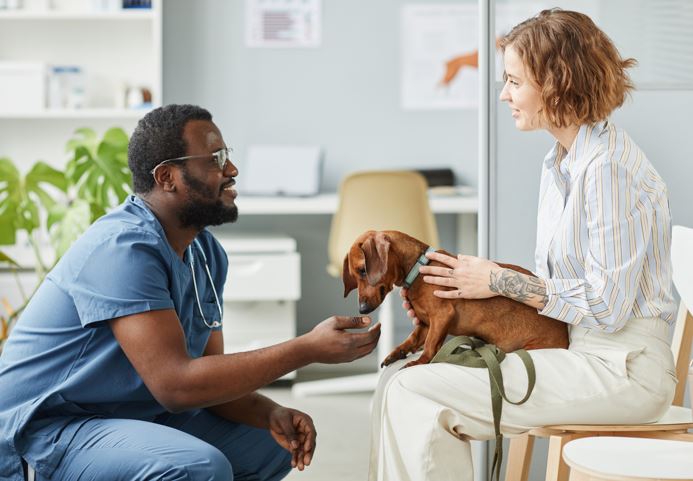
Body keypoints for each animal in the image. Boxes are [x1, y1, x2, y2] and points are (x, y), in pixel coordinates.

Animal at [342, 229, 568, 368]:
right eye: (355, 274)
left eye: (363, 271)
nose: (362, 309)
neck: (419, 269)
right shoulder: (425, 323)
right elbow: (412, 339)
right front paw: (397, 353)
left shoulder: (442, 317)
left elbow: (430, 344)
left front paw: (420, 361)